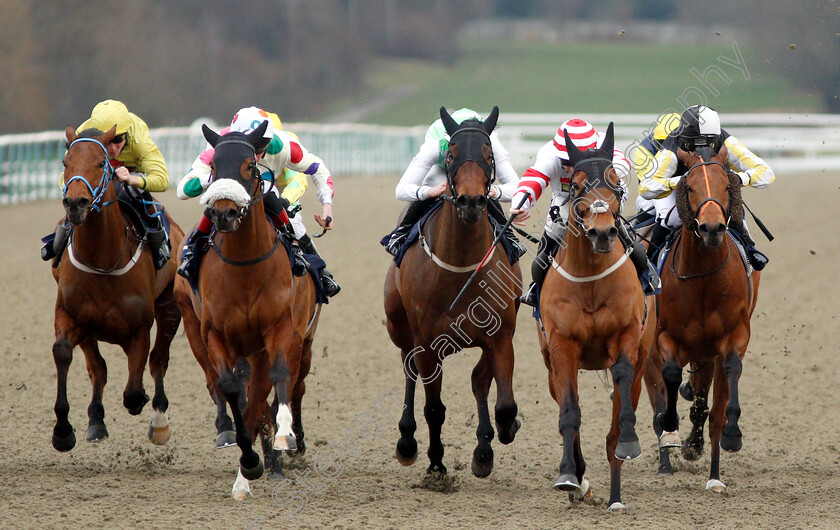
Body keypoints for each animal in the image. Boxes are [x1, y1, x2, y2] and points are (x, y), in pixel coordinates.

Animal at [51, 125, 184, 450]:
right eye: (65, 163)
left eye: (101, 164)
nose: (75, 203)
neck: (102, 260)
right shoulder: (71, 316)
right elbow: (65, 353)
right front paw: (63, 430)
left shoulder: (138, 328)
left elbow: (134, 392)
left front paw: (147, 407)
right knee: (98, 368)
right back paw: (96, 420)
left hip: (170, 307)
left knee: (158, 360)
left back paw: (159, 421)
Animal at [174, 120, 322, 500]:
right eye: (213, 167)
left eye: (249, 166)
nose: (223, 212)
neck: (244, 265)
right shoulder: (215, 333)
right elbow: (230, 387)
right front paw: (249, 458)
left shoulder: (280, 330)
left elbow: (279, 378)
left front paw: (283, 438)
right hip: (196, 329)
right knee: (226, 386)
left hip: (298, 341)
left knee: (287, 386)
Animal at [386, 105, 520, 476]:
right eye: (450, 155)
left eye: (488, 155)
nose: (472, 201)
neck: (462, 269)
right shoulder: (429, 343)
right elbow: (434, 408)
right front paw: (436, 465)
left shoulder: (500, 336)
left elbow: (503, 403)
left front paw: (495, 439)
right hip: (400, 329)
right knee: (409, 371)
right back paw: (407, 441)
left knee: (478, 380)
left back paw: (485, 447)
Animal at [540, 125, 656, 512]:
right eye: (575, 185)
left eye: (615, 183)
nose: (602, 231)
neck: (590, 281)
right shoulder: (561, 347)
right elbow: (569, 412)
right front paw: (568, 474)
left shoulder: (626, 335)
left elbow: (620, 396)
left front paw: (628, 444)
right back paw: (579, 480)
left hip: (643, 359)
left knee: (617, 424)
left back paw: (615, 496)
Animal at [656, 144, 760, 490]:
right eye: (689, 187)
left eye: (727, 186)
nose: (712, 228)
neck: (702, 278)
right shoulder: (665, 335)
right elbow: (671, 374)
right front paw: (669, 426)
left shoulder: (735, 335)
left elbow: (731, 371)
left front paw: (731, 433)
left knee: (707, 395)